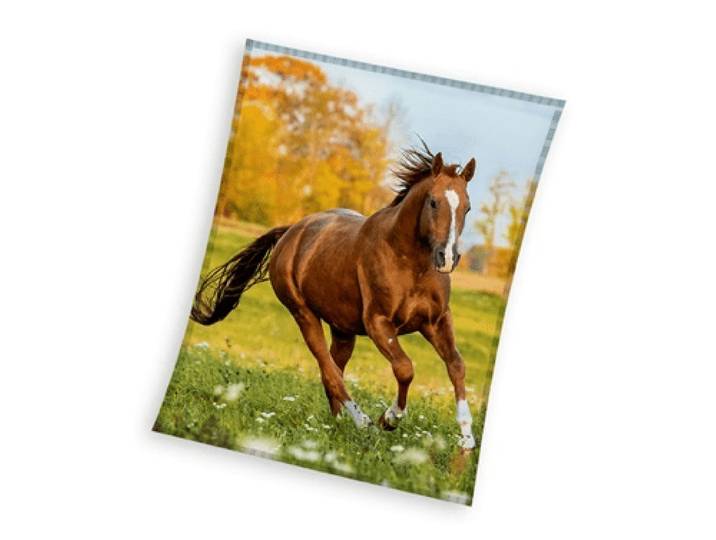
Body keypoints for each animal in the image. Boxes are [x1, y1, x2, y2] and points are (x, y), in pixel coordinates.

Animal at [191, 143, 478, 449]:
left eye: (467, 207)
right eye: (433, 202)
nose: (447, 258)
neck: (410, 263)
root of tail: (291, 231)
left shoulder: (436, 321)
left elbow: (456, 365)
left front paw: (467, 439)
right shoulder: (378, 323)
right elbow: (405, 368)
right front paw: (388, 419)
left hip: (343, 330)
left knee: (333, 369)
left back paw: (337, 422)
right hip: (304, 315)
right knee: (329, 371)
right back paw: (362, 422)